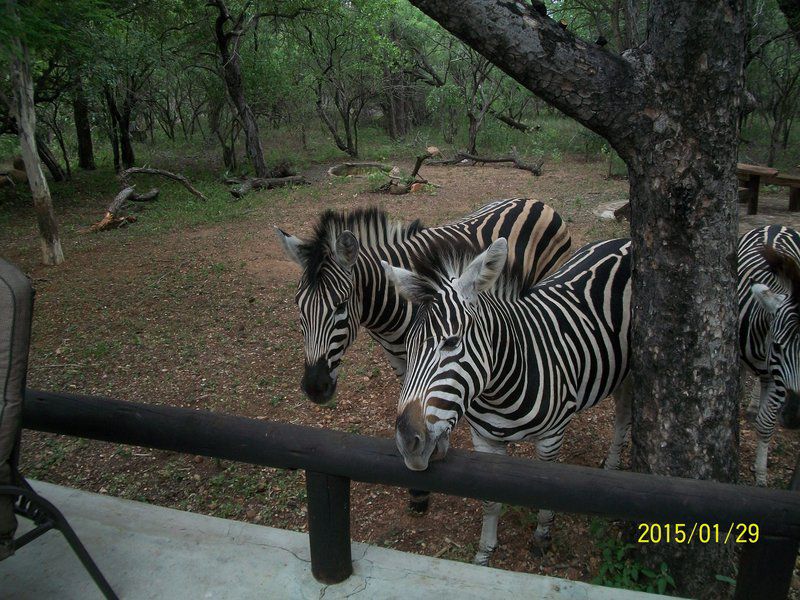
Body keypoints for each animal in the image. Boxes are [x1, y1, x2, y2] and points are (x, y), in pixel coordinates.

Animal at [276, 199, 568, 512]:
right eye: (298, 305)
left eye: (341, 306)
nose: (315, 386)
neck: (389, 310)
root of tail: (536, 202)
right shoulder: (402, 361)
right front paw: (417, 486)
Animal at [382, 236, 632, 564]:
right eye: (408, 347)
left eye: (451, 342)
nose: (407, 442)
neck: (498, 390)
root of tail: (623, 240)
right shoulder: (485, 441)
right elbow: (490, 500)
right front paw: (485, 552)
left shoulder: (551, 439)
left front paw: (541, 537)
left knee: (623, 415)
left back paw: (613, 466)